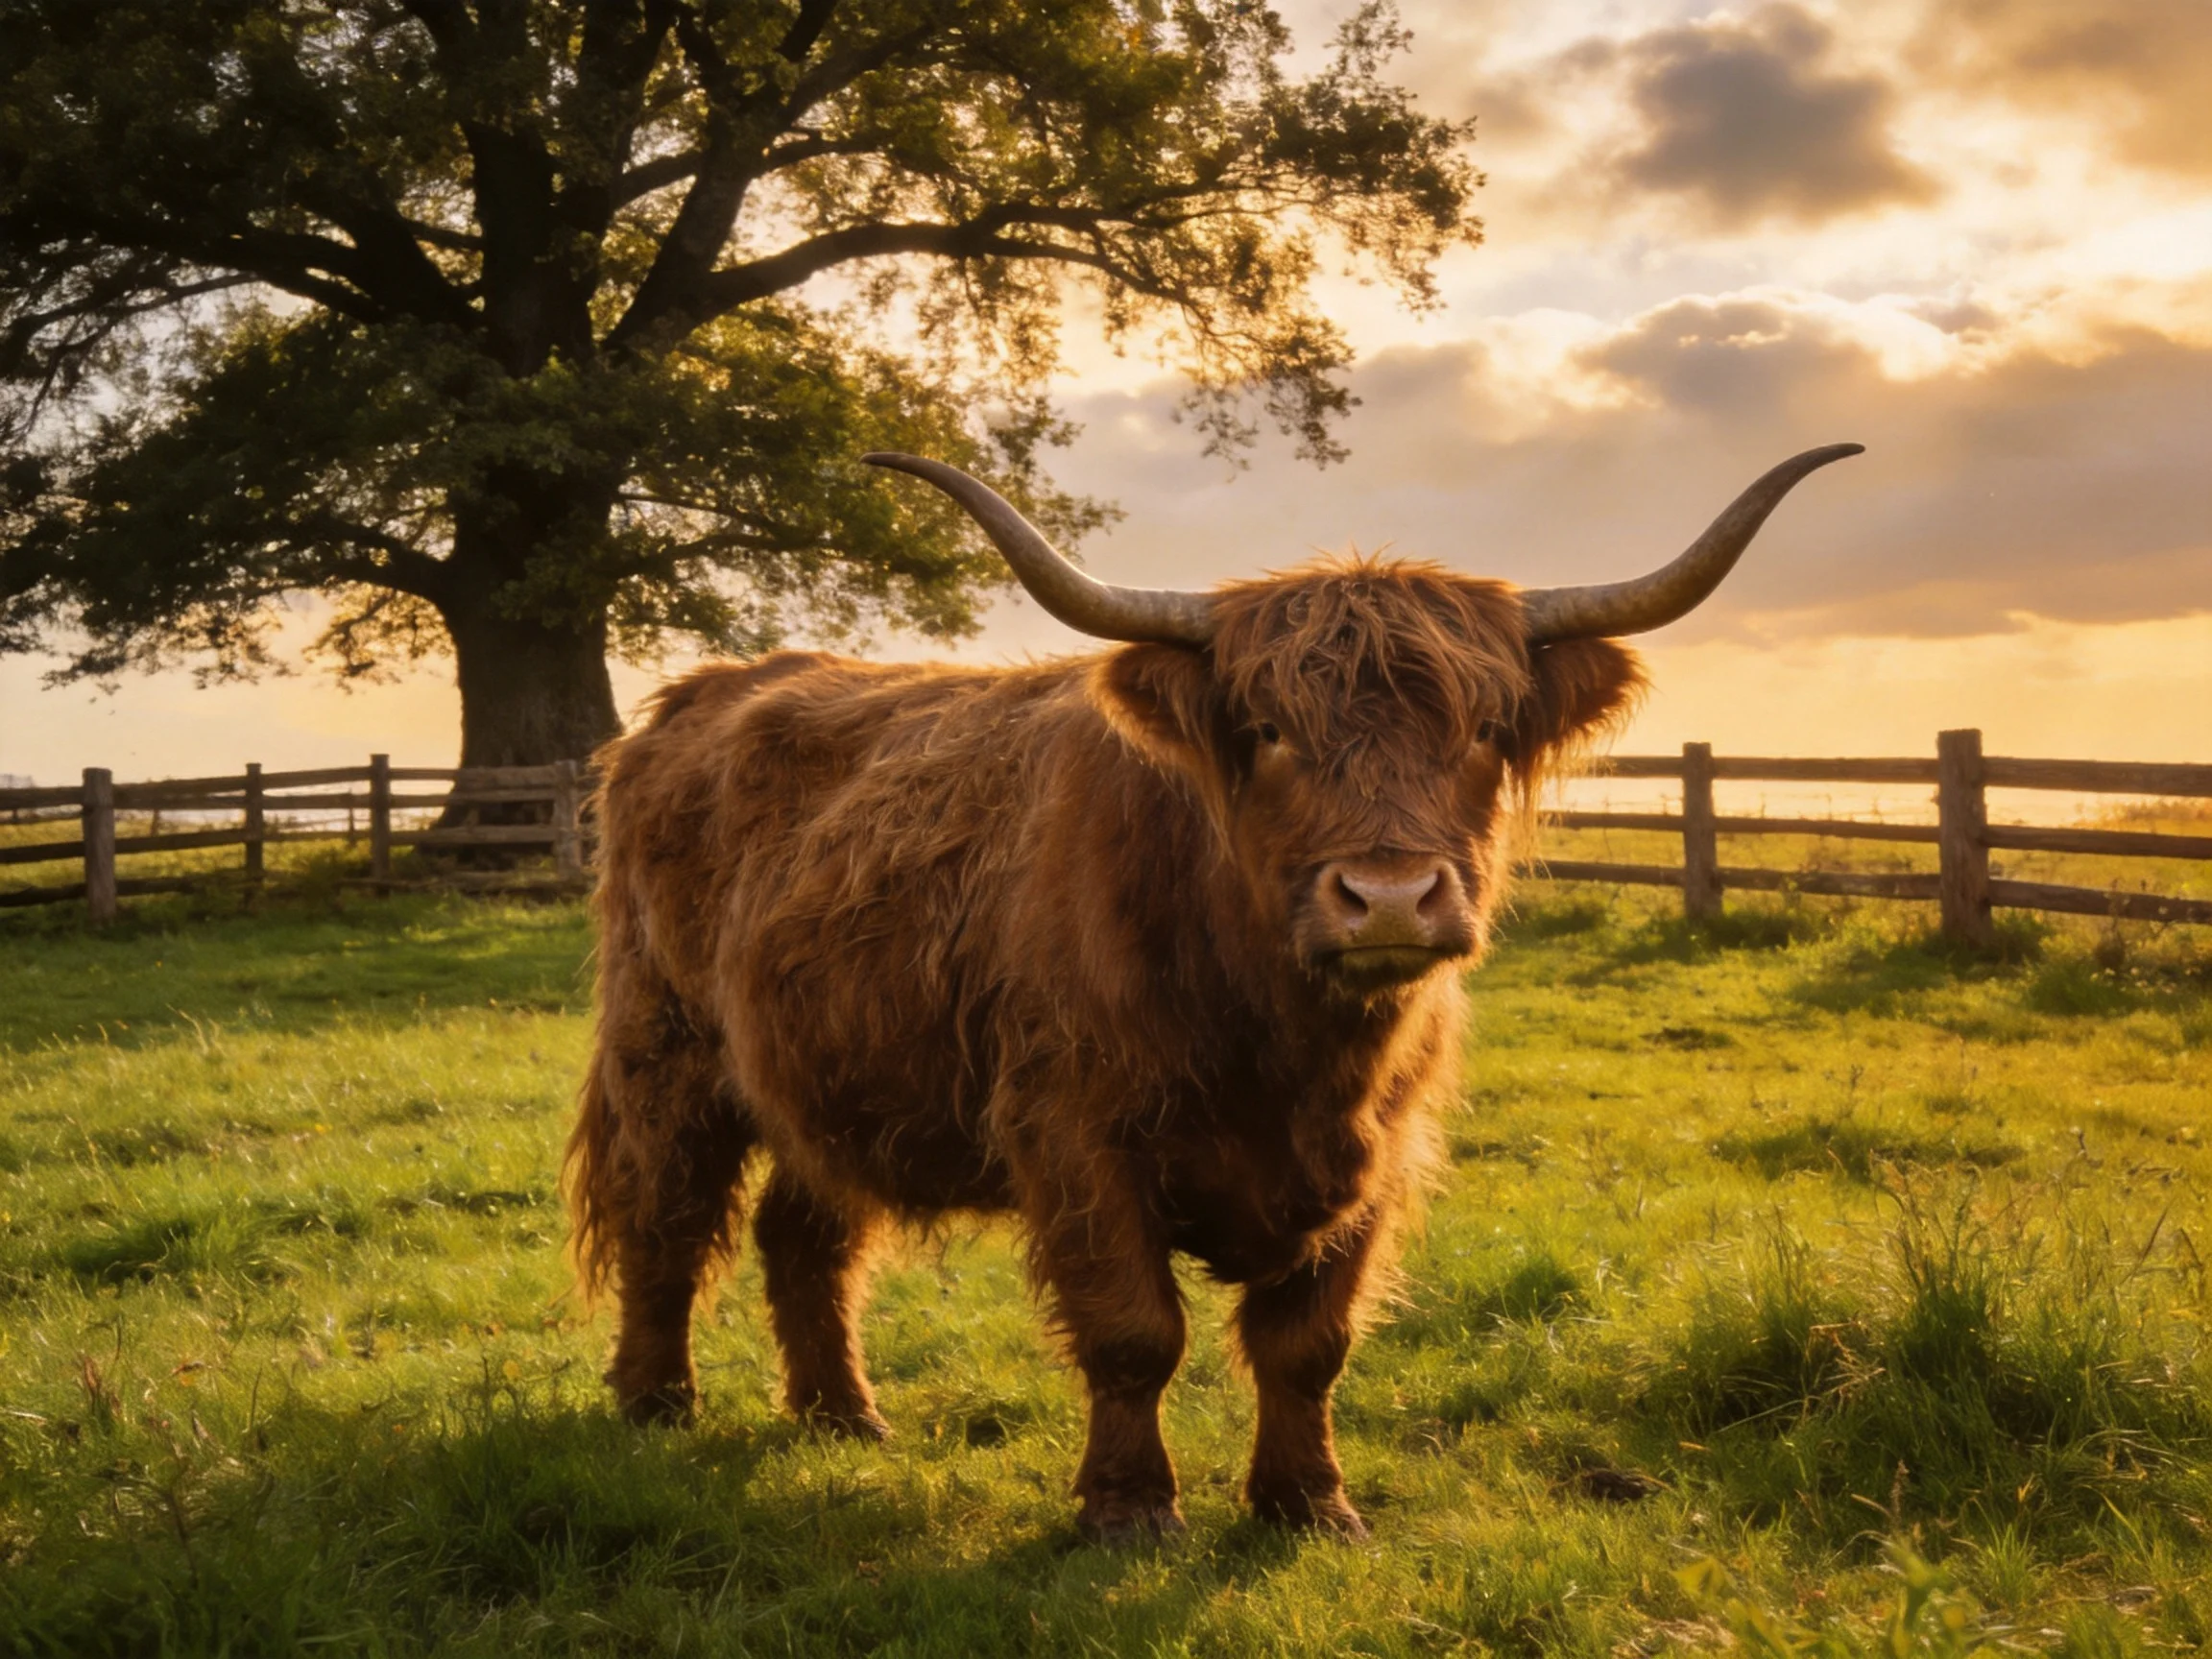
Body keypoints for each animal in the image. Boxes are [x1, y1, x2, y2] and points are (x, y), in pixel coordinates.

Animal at [564, 443, 1860, 1540]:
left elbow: (1308, 1344)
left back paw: (844, 1417)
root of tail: (697, 698)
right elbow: (1136, 1333)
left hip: (832, 1073)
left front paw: (1308, 1506)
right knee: (665, 1216)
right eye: (1268, 729)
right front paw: (1131, 1511)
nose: (1390, 897)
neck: (1284, 1048)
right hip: (666, 1045)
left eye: (1485, 728)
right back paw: (655, 1404)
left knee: (806, 1235)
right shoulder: (1075, 1134)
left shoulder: (1377, 1154)